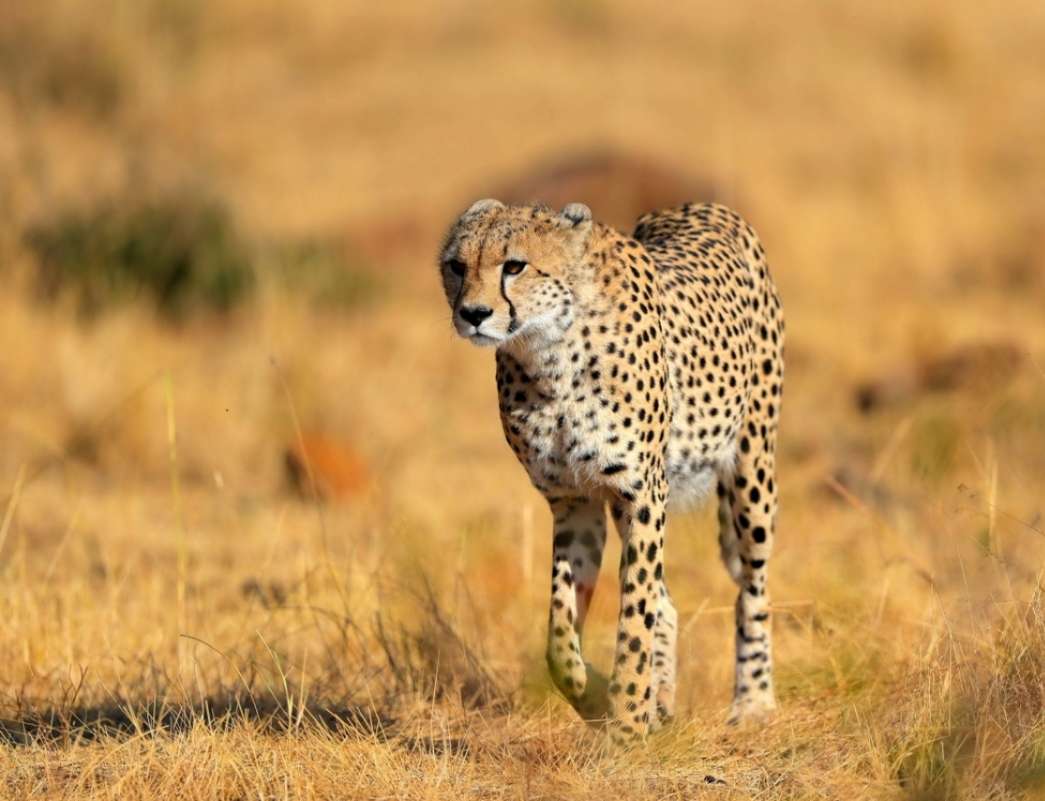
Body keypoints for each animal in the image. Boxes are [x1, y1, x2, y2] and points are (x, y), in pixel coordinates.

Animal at [438, 197, 784, 743]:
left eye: (514, 266)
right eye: (456, 265)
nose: (473, 314)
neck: (550, 354)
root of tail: (700, 204)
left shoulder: (640, 494)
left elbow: (634, 616)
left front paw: (626, 721)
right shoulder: (573, 501)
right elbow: (560, 638)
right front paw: (603, 699)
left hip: (752, 469)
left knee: (752, 590)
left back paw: (752, 702)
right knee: (669, 603)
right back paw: (662, 704)